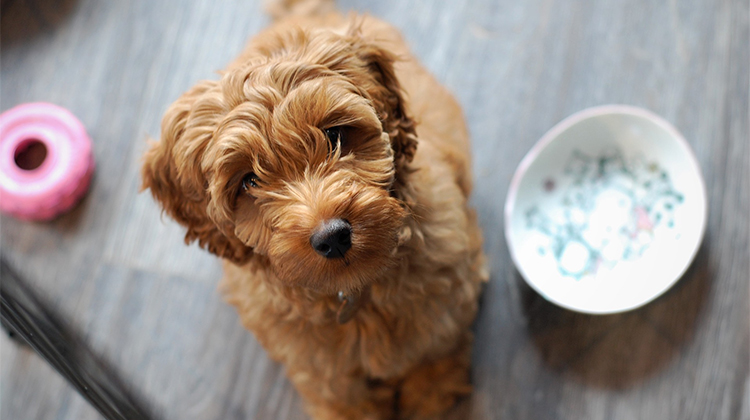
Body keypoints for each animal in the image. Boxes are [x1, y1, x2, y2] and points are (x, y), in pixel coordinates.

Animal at [143, 4, 490, 420]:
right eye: (248, 181)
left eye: (334, 135)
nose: (332, 236)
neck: (354, 295)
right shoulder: (311, 360)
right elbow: (343, 394)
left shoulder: (450, 290)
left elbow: (436, 347)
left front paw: (429, 395)